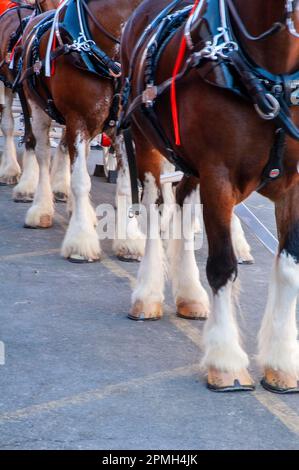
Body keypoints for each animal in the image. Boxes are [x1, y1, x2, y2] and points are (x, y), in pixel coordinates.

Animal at [17, 0, 145, 262]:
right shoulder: (78, 119)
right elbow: (79, 181)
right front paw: (80, 240)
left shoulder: (121, 126)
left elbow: (126, 183)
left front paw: (129, 240)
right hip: (38, 109)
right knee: (43, 156)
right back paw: (41, 209)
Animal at [120, 0, 299, 392]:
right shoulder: (219, 176)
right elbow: (222, 266)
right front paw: (226, 361)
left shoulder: (295, 183)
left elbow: (289, 268)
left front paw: (282, 363)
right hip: (145, 141)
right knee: (155, 210)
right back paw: (147, 295)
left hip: (189, 161)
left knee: (183, 204)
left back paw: (188, 293)